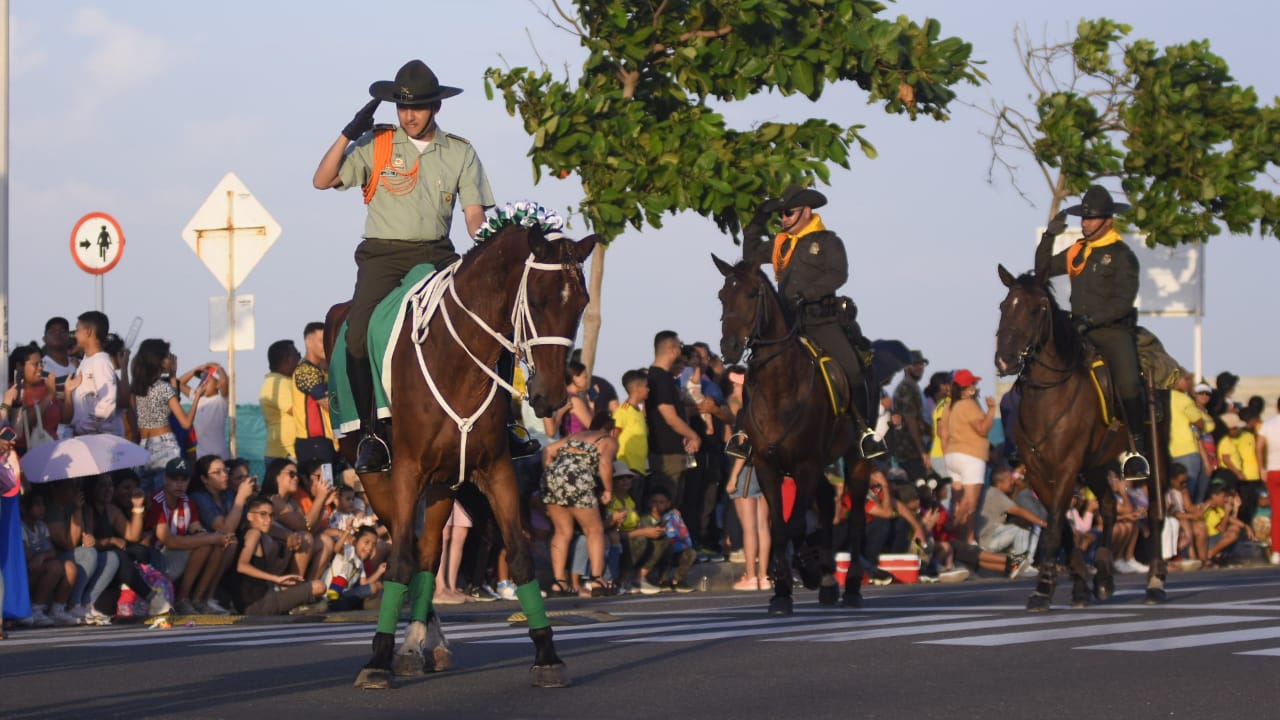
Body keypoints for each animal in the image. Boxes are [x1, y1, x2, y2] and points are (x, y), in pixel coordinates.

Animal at [325, 222, 593, 681]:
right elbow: (399, 560)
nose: (552, 396)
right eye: (537, 300)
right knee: (412, 551)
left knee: (429, 555)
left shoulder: (494, 470)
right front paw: (378, 659)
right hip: (376, 478)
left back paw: (422, 642)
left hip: (444, 484)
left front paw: (546, 653)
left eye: (581, 303)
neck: (459, 364)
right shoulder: (407, 472)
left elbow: (519, 556)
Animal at [711, 252, 870, 609]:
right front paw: (782, 588)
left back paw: (852, 585)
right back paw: (828, 581)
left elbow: (795, 523)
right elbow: (780, 527)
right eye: (722, 296)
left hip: (856, 460)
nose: (729, 347)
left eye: (752, 294)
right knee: (826, 502)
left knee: (855, 518)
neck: (779, 387)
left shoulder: (806, 465)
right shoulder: (768, 466)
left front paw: (803, 570)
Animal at [988, 265, 1172, 609]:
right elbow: (1061, 527)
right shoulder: (1038, 472)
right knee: (1110, 506)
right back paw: (1103, 576)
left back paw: (1155, 581)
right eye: (1004, 306)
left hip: (1157, 458)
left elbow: (1054, 527)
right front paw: (1078, 585)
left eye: (1037, 309)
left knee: (1156, 512)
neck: (1049, 395)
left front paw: (1043, 588)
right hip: (1097, 465)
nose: (1005, 360)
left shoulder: (1067, 467)